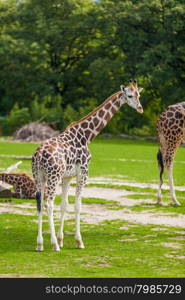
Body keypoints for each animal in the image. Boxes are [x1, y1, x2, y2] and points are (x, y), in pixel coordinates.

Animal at [32, 79, 144, 251]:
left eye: (139, 95)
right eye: (130, 95)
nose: (140, 108)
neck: (86, 135)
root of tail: (38, 156)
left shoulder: (67, 177)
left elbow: (64, 205)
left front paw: (62, 239)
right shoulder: (83, 173)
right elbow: (78, 205)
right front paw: (78, 242)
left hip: (39, 177)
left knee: (39, 202)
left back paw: (40, 244)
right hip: (53, 177)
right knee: (48, 203)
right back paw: (54, 245)